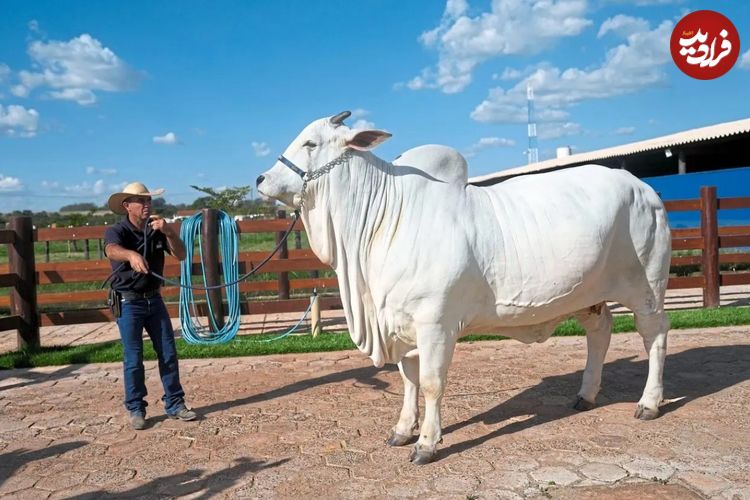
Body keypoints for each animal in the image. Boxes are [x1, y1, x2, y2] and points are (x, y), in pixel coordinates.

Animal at [256, 111, 672, 462]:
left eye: (311, 143)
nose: (260, 179)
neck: (384, 220)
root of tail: (644, 188)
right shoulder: (403, 325)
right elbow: (408, 380)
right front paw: (402, 430)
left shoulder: (435, 324)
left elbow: (430, 383)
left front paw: (427, 443)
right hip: (590, 296)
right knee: (600, 333)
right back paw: (586, 394)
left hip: (647, 289)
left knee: (654, 336)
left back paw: (649, 402)